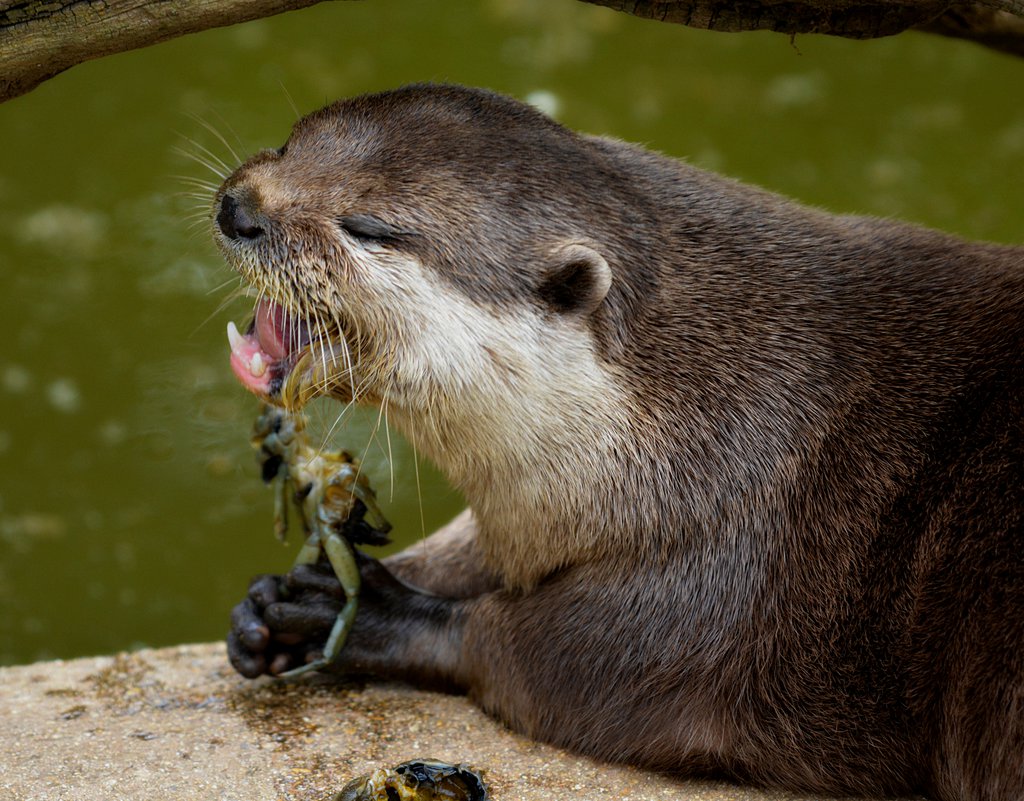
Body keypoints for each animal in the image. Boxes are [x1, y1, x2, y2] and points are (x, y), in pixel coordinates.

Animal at [215, 84, 1023, 800]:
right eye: (291, 140)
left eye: (367, 226)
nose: (239, 208)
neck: (710, 413)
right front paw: (269, 605)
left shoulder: (731, 573)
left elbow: (547, 658)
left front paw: (358, 611)